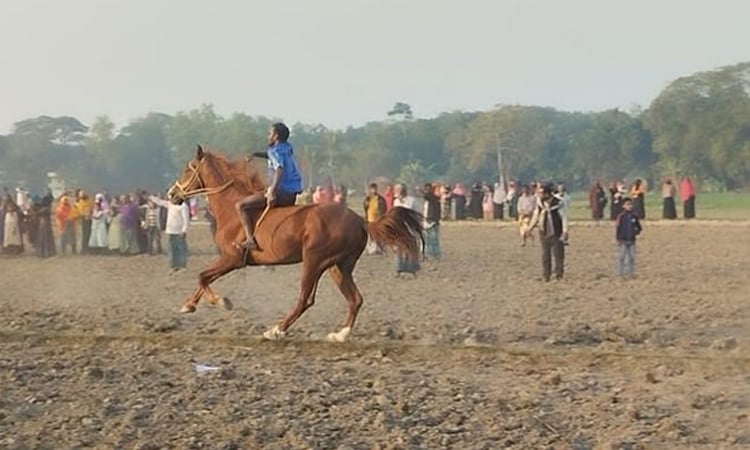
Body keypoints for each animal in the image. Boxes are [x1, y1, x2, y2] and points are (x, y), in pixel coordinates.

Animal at [166, 145, 423, 342]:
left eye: (188, 169)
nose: (171, 194)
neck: (231, 208)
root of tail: (360, 220)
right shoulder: (229, 260)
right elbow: (204, 278)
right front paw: (189, 305)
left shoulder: (232, 259)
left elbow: (203, 276)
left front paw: (220, 302)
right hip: (338, 266)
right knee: (355, 299)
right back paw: (340, 334)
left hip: (314, 261)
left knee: (306, 299)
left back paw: (276, 330)